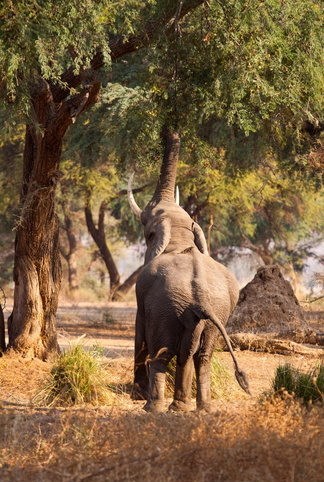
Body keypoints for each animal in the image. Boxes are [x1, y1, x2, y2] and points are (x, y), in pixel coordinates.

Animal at [128, 130, 249, 412]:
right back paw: (195, 408)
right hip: (215, 312)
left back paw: (152, 407)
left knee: (162, 353)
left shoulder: (143, 293)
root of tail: (200, 297)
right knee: (201, 355)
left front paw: (135, 394)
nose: (172, 134)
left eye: (148, 231)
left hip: (167, 309)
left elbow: (140, 330)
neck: (180, 237)